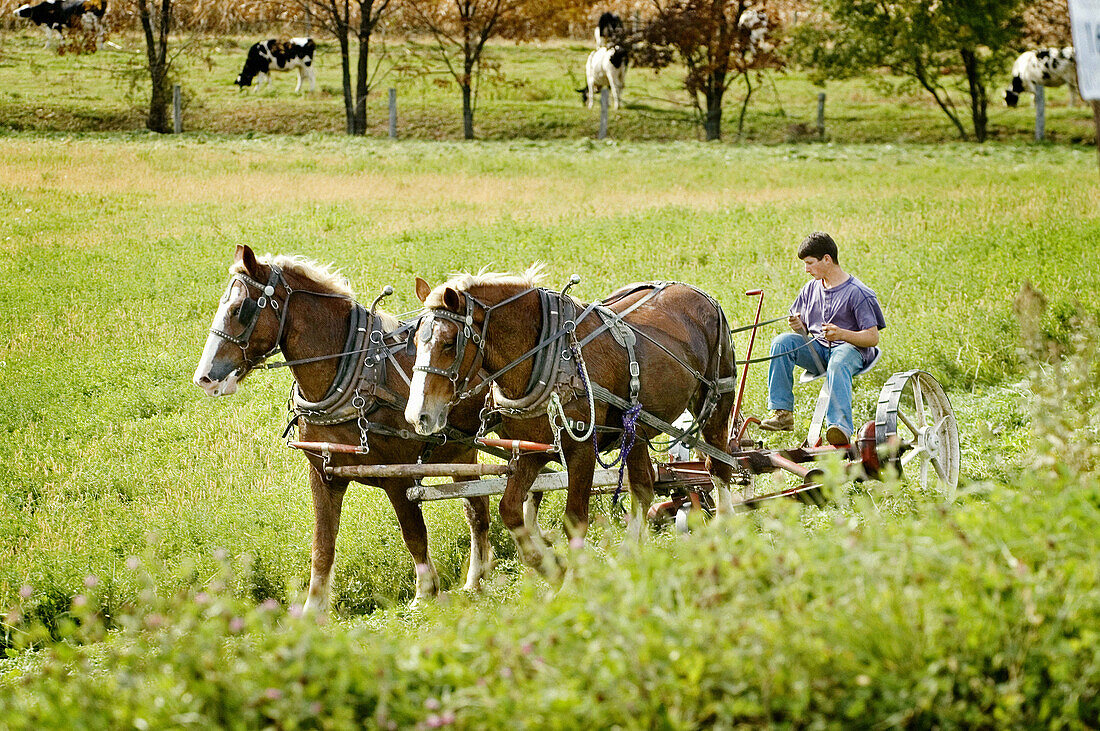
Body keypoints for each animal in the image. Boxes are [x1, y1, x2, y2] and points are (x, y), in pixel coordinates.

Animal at [193, 246, 495, 615]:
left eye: (240, 309)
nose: (205, 378)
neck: (356, 375)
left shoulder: (398, 477)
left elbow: (413, 534)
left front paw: (425, 593)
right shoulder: (325, 475)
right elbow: (322, 544)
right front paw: (314, 608)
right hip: (461, 449)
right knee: (477, 510)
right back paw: (475, 579)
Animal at [407, 268, 739, 580]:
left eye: (449, 343)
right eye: (414, 342)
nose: (417, 416)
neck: (546, 358)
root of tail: (697, 292)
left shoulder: (582, 449)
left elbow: (575, 519)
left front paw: (574, 579)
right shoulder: (531, 451)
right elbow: (510, 510)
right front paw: (549, 566)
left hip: (717, 398)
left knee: (719, 467)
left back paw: (725, 528)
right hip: (636, 426)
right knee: (644, 487)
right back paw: (631, 554)